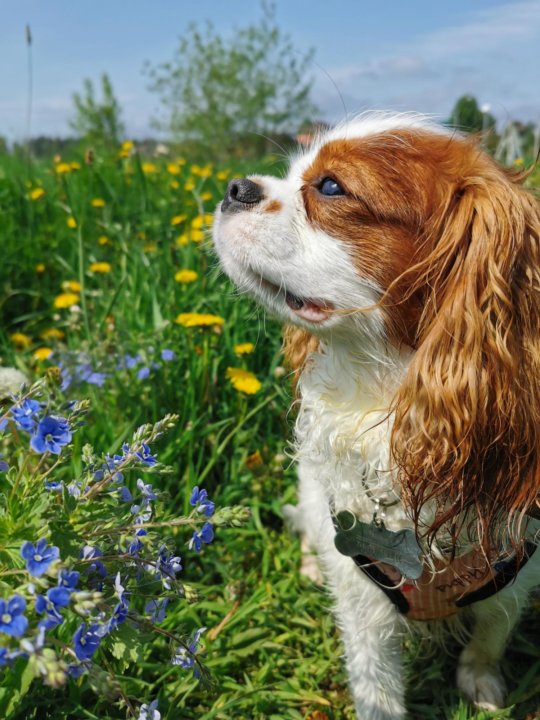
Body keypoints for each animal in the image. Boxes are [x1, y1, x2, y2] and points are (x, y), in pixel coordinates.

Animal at [212, 109, 540, 716]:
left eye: (330, 187)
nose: (236, 188)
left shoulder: (521, 570)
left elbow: (492, 632)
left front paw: (480, 682)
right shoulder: (365, 602)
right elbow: (377, 689)